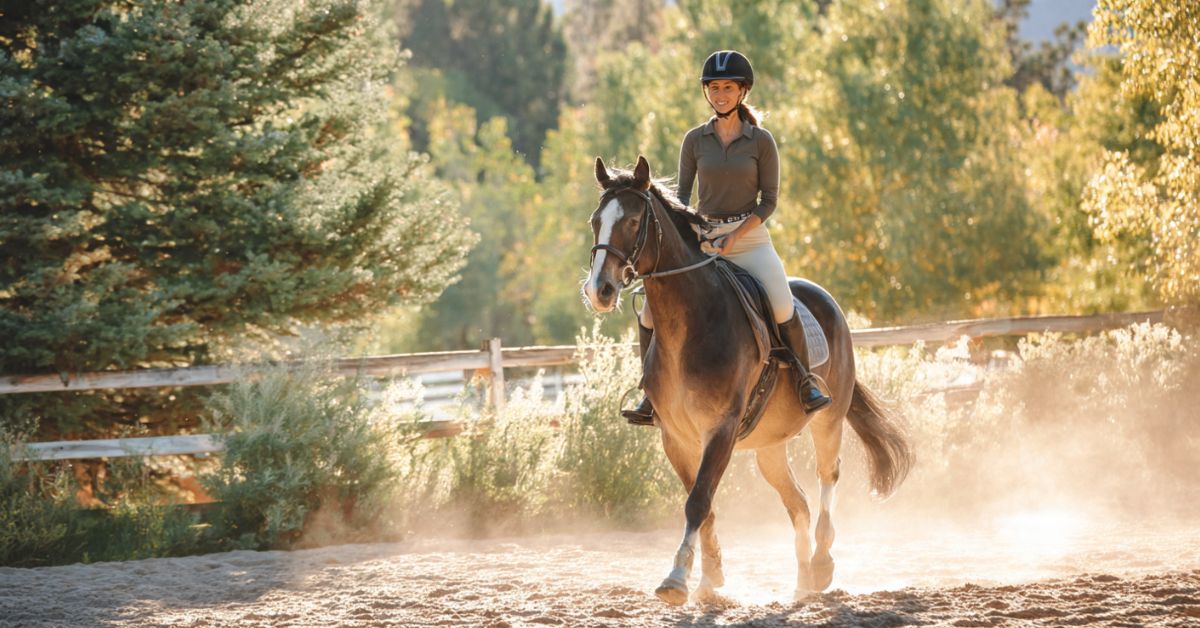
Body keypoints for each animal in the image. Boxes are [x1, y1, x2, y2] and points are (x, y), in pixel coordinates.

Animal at [583, 155, 913, 605]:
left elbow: (698, 502)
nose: (598, 290)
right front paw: (711, 579)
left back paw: (822, 563)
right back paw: (803, 582)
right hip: (769, 447)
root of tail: (827, 301)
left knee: (828, 476)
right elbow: (703, 503)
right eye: (596, 221)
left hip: (829, 420)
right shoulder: (676, 438)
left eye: (634, 221)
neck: (690, 323)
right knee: (798, 503)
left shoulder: (720, 429)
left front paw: (677, 579)